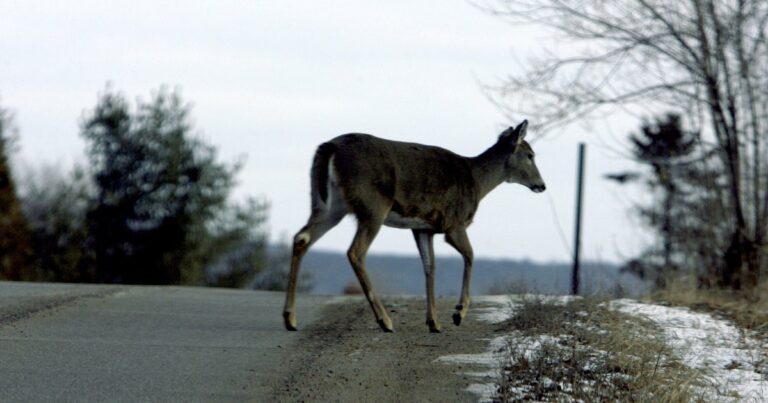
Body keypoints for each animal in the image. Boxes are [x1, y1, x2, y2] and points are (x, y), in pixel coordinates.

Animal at [283, 120, 545, 333]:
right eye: (530, 154)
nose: (541, 185)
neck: (477, 182)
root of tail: (330, 147)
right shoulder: (454, 222)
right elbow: (470, 255)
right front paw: (458, 313)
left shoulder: (423, 228)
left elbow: (430, 266)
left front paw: (434, 322)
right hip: (372, 206)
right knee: (355, 251)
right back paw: (385, 321)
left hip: (328, 205)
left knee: (301, 237)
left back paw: (290, 318)